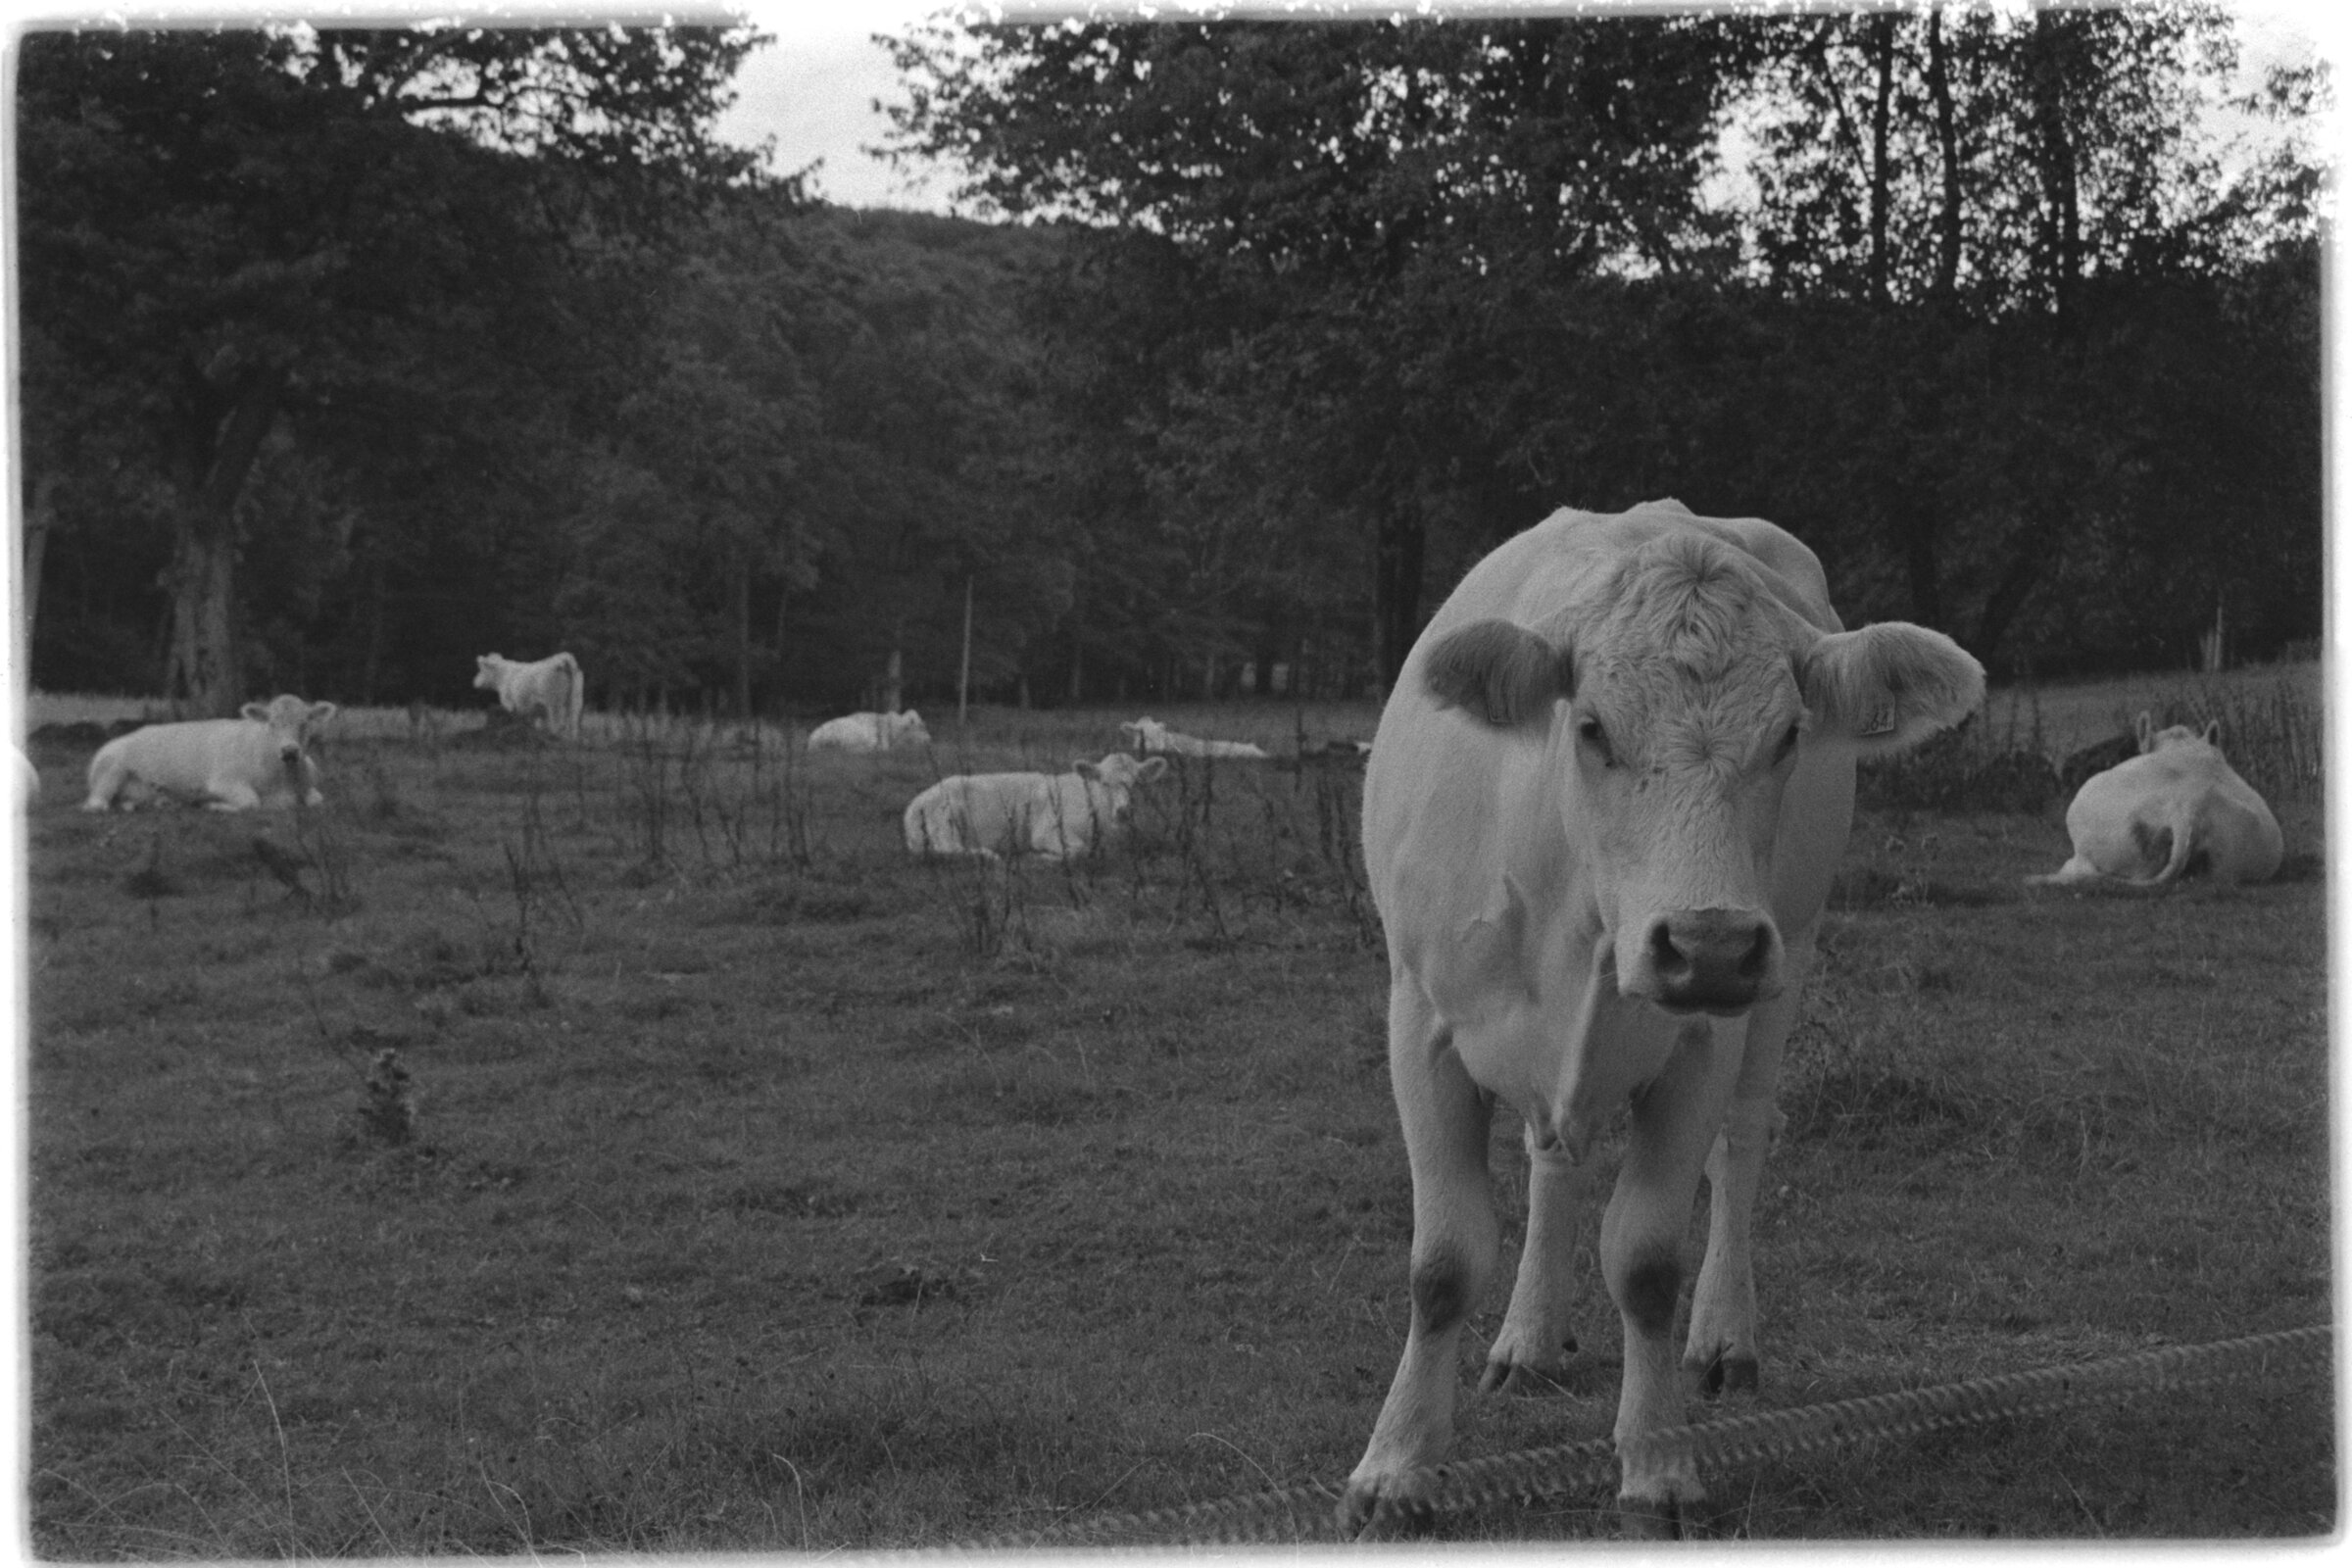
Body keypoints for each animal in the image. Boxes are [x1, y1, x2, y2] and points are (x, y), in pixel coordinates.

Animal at [82, 695, 340, 812]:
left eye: (305, 722)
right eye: (271, 723)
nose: (289, 751)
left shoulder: (310, 786)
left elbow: (317, 800)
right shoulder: (222, 782)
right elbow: (251, 802)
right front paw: (214, 805)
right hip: (110, 771)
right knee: (96, 804)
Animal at [902, 751, 1168, 860]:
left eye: (1136, 783)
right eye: (1104, 782)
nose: (1124, 811)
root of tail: (915, 803)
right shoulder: (1046, 831)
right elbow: (1077, 851)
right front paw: (1037, 856)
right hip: (946, 819)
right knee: (949, 849)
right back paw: (990, 855)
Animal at [1342, 500, 1984, 1537]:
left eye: (1789, 734)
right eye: (1591, 727)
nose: (1708, 942)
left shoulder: (1703, 1041)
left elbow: (1645, 1262)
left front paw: (1657, 1466)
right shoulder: (1419, 1021)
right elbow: (1441, 1265)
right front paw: (1395, 1468)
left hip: (1789, 958)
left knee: (1742, 1141)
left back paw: (1724, 1337)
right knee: (1551, 1157)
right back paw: (1528, 1338)